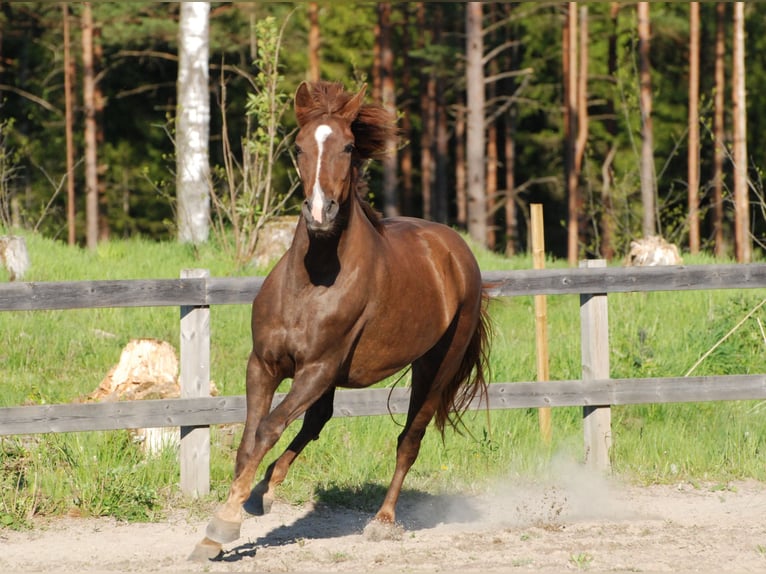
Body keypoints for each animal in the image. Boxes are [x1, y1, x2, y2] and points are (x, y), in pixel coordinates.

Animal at [190, 80, 492, 561]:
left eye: (349, 146)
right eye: (297, 146)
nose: (320, 213)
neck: (313, 280)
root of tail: (456, 250)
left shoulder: (316, 369)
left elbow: (268, 429)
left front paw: (222, 525)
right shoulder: (264, 365)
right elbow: (250, 439)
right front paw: (228, 520)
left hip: (435, 367)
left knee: (409, 440)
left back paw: (382, 522)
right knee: (318, 420)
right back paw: (264, 491)